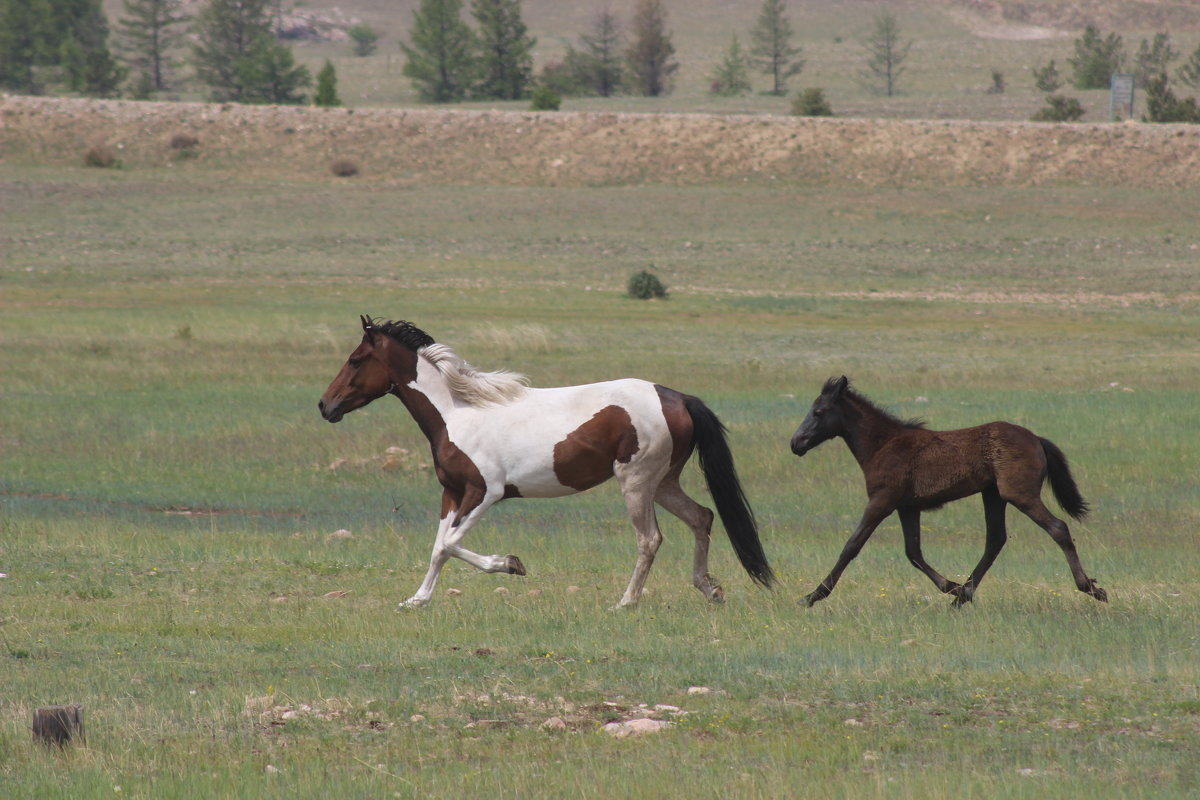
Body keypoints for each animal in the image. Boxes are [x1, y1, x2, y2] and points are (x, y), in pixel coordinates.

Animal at [319, 316, 772, 606]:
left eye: (355, 360)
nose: (325, 406)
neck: (458, 413)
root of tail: (676, 397)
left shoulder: (485, 492)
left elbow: (449, 543)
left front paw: (511, 564)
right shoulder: (451, 493)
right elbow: (438, 548)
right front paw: (417, 599)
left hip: (637, 482)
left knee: (650, 539)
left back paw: (626, 602)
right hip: (663, 482)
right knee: (702, 517)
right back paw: (710, 589)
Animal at [787, 379, 1104, 609]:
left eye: (819, 412)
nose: (796, 443)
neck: (883, 445)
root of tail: (1037, 439)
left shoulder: (882, 501)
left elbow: (851, 546)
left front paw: (812, 597)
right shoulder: (908, 508)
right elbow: (913, 552)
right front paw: (952, 587)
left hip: (1019, 494)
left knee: (1057, 528)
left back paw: (1091, 588)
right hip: (992, 495)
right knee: (995, 540)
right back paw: (963, 595)